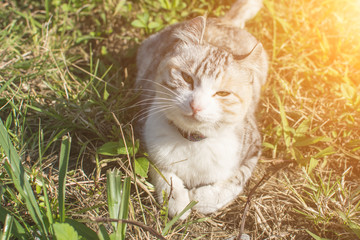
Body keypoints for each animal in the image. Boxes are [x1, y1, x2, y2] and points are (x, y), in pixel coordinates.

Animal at [134, 0, 268, 218]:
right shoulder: (144, 133)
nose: (195, 105)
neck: (192, 141)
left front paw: (201, 199)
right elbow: (160, 169)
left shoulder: (253, 149)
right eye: (186, 78)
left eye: (223, 93)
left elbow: (236, 179)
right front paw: (175, 198)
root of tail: (226, 22)